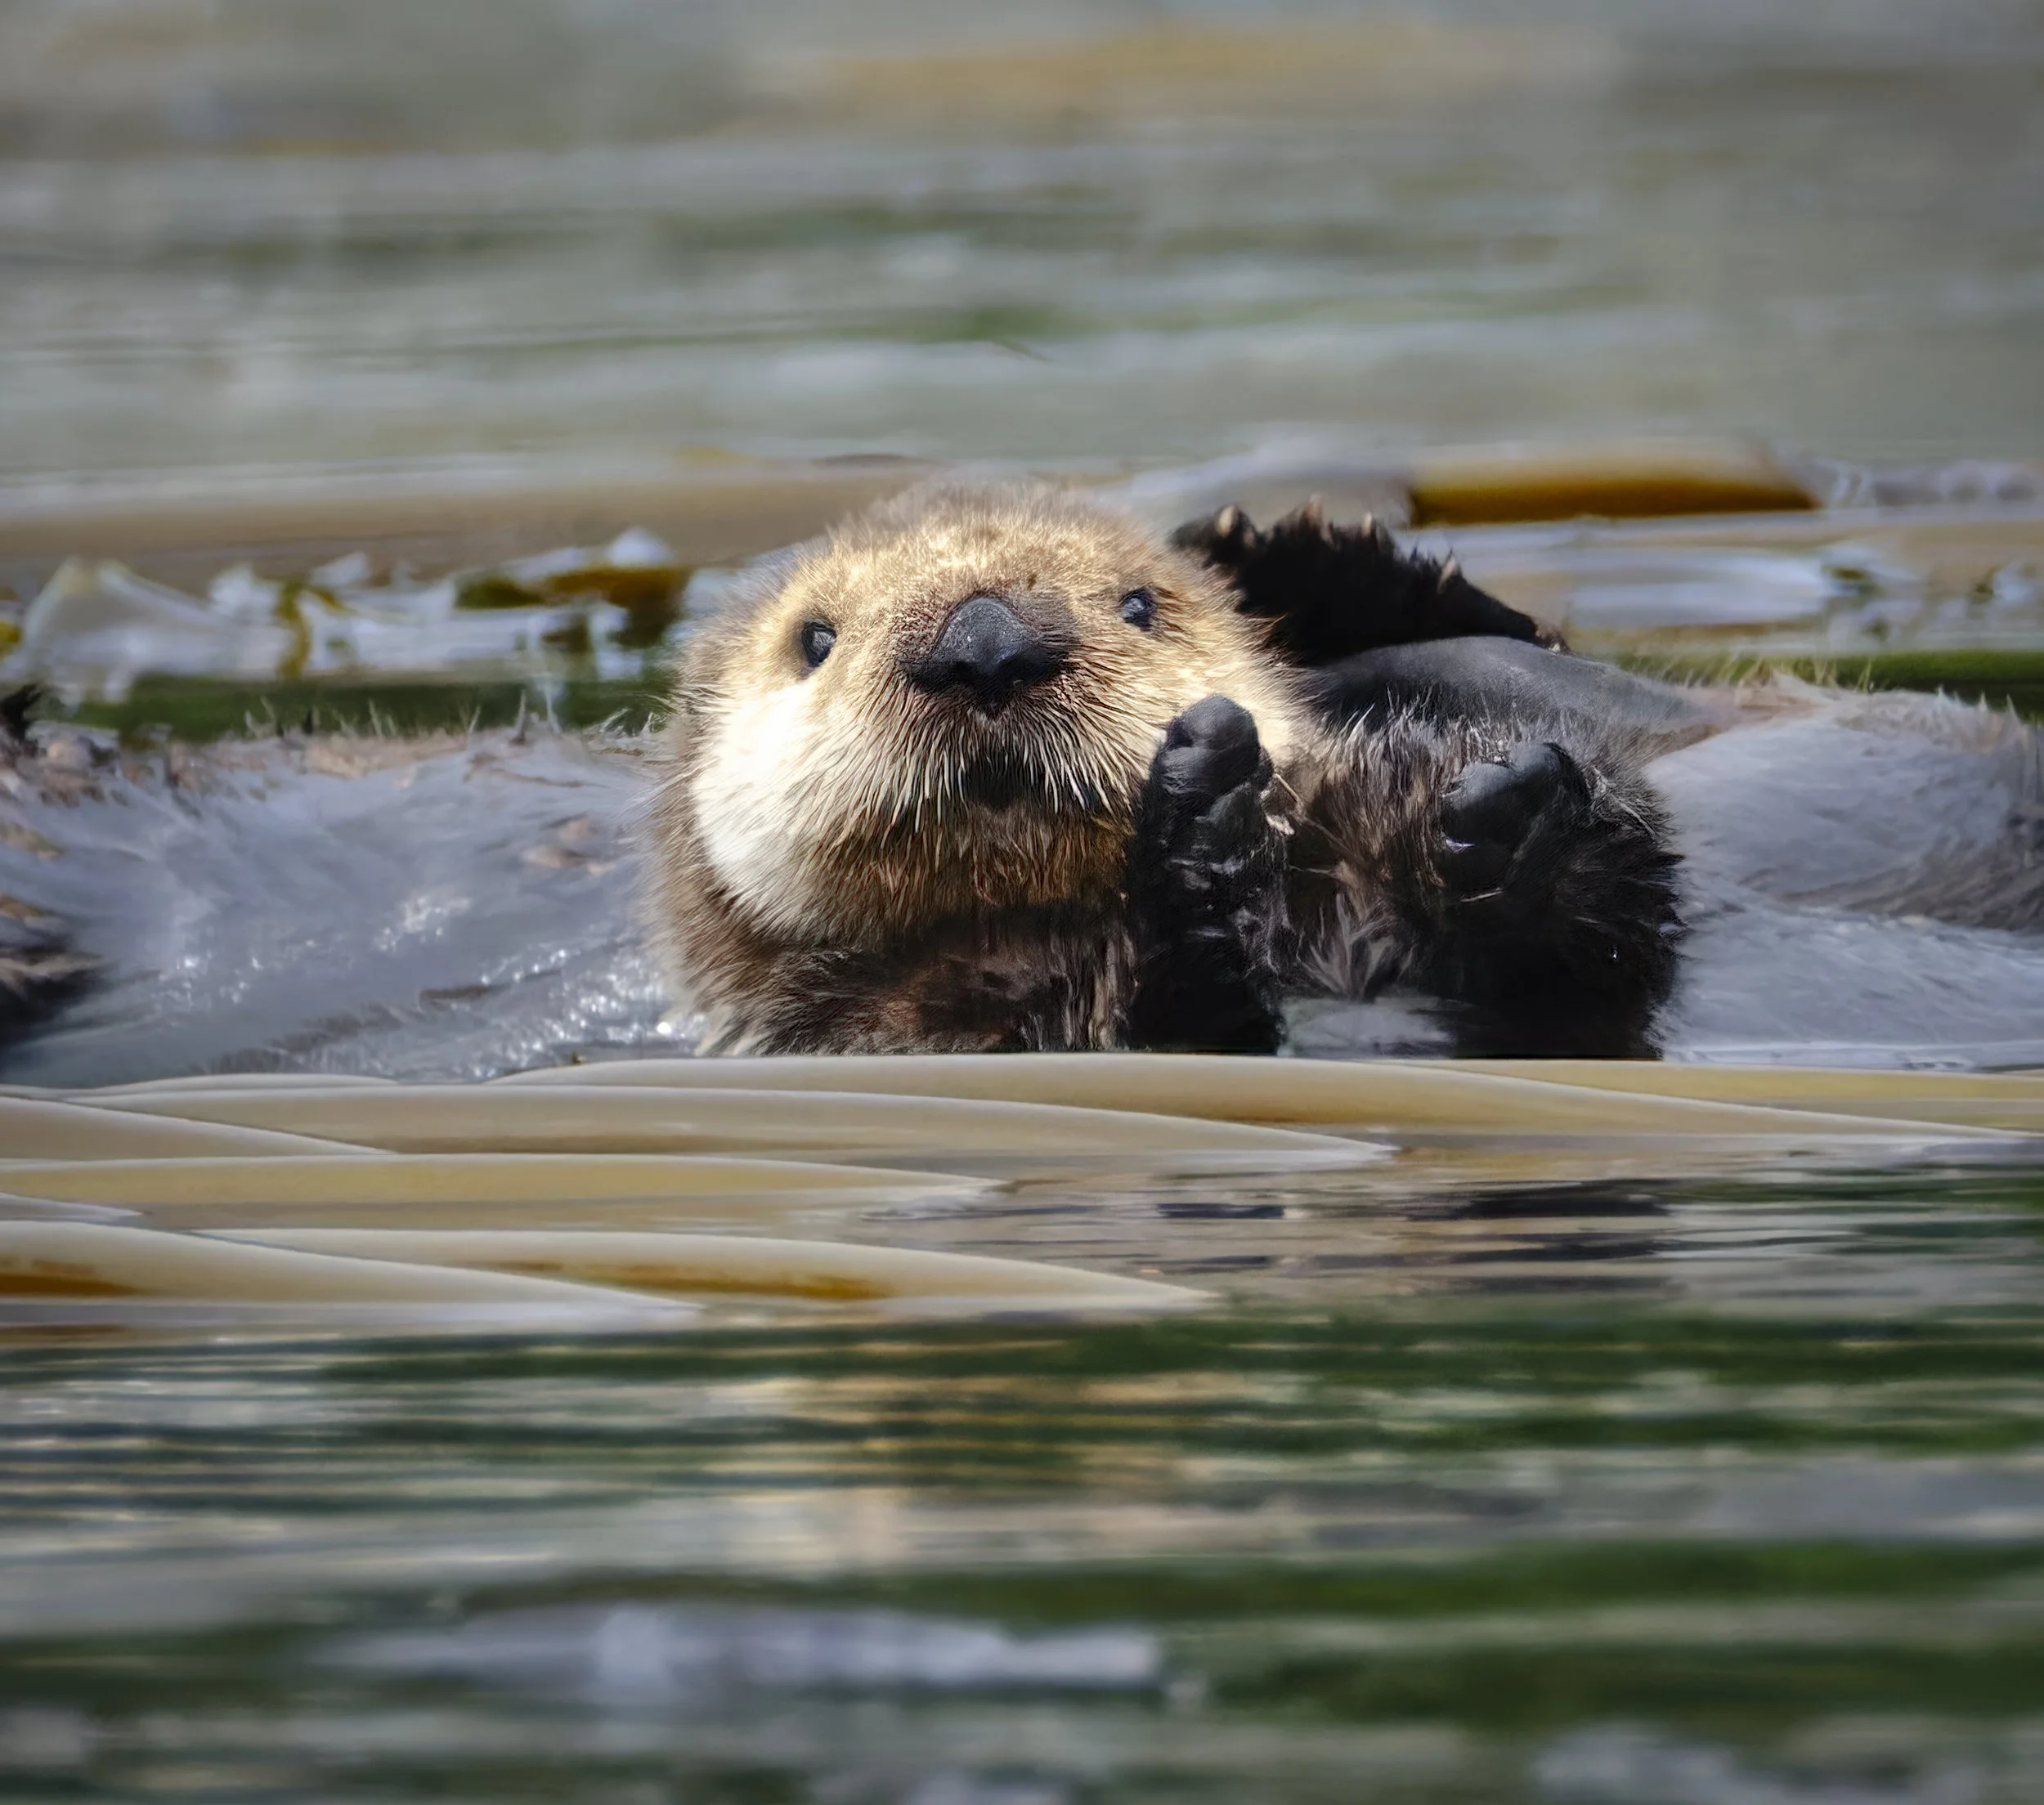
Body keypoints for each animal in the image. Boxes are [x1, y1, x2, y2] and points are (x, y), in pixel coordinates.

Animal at [651, 483, 1685, 1058]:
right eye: (814, 639)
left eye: (1140, 606)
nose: (984, 646)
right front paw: (1201, 827)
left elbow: (1605, 947)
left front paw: (1512, 813)